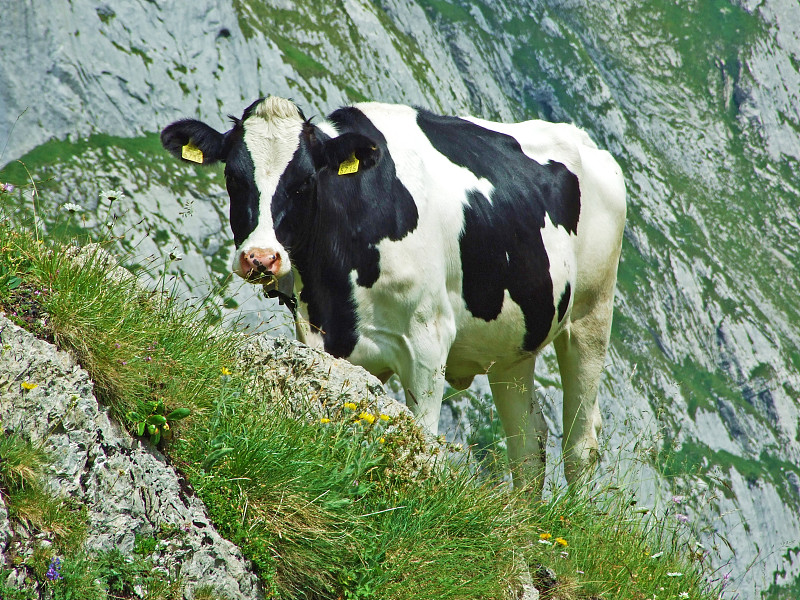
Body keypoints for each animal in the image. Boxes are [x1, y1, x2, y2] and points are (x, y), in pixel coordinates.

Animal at [161, 97, 624, 492]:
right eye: (233, 177)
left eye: (304, 182)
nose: (260, 257)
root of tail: (588, 144)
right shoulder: (325, 337)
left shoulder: (428, 340)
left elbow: (424, 442)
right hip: (512, 344)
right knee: (528, 441)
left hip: (591, 314)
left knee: (581, 445)